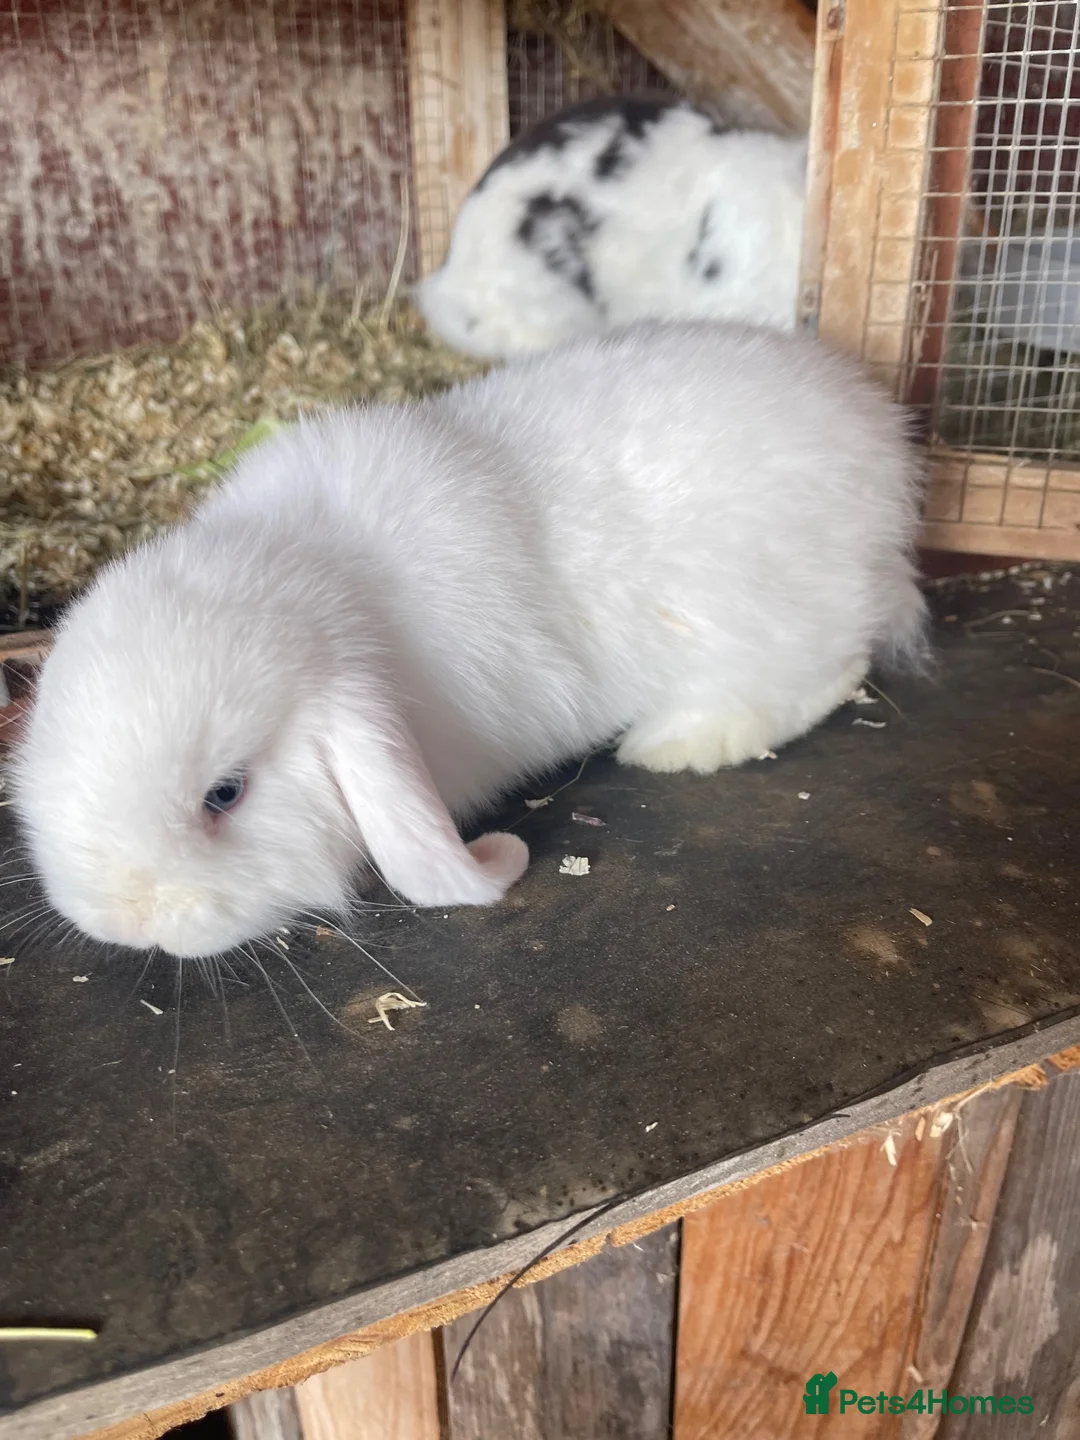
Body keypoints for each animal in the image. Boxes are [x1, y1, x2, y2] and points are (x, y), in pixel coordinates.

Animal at [12, 321, 927, 960]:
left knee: (831, 669)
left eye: (226, 794)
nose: (123, 917)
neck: (313, 574)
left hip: (771, 617)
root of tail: (884, 451)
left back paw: (683, 742)